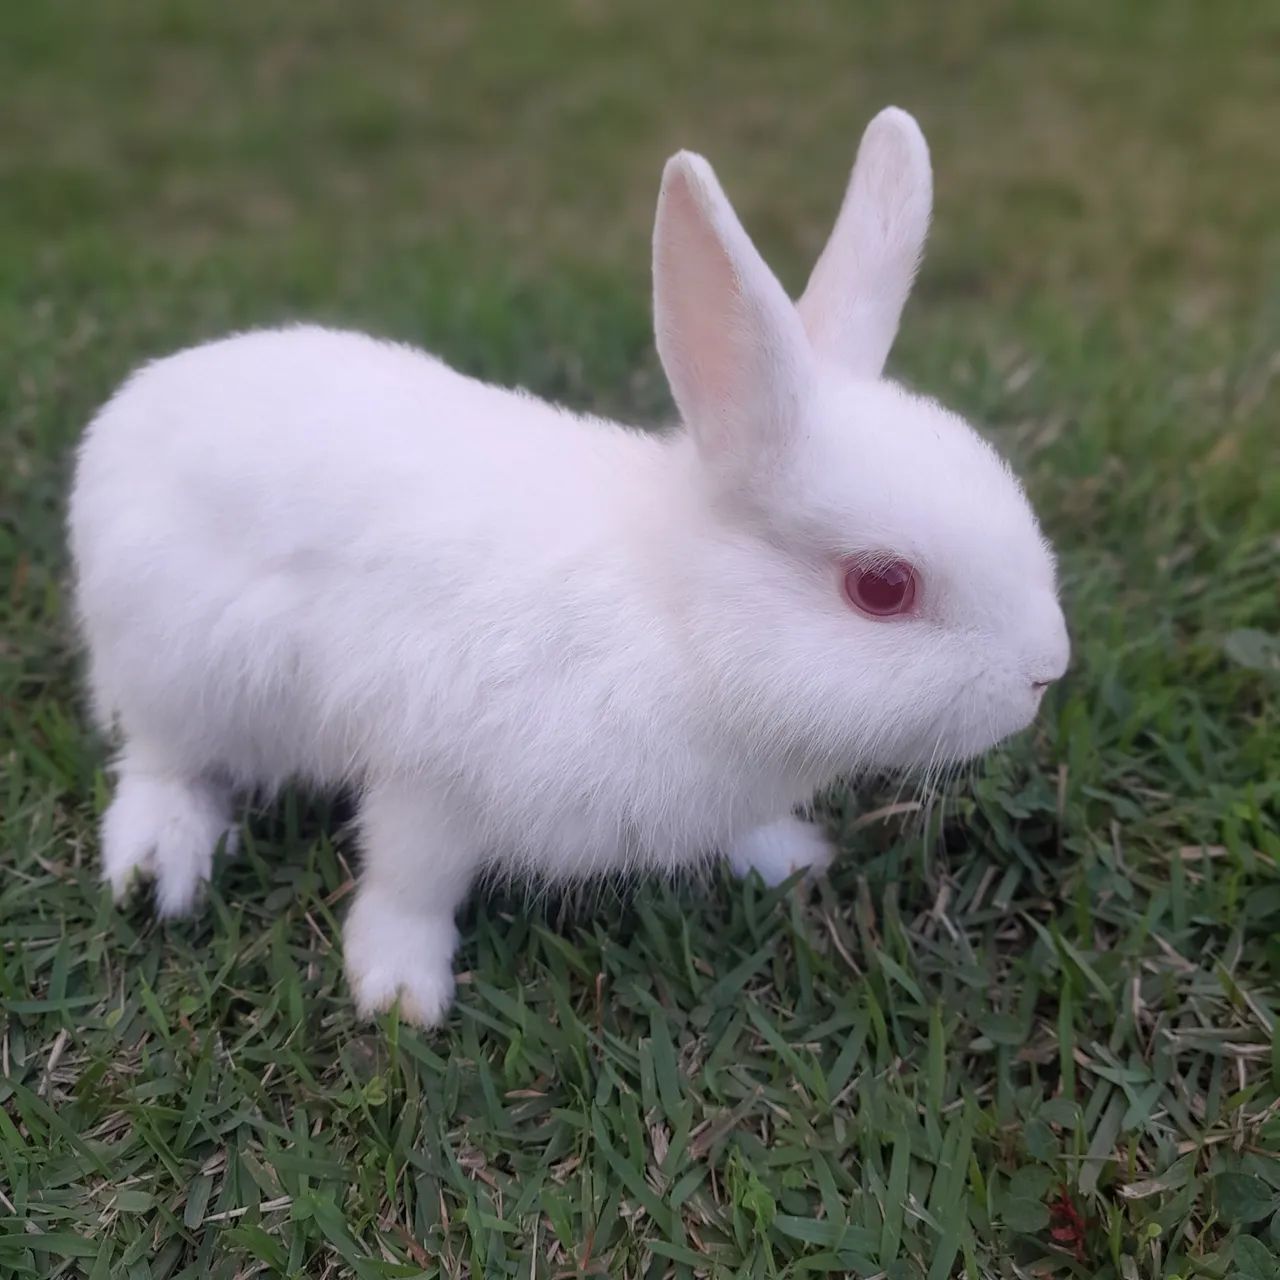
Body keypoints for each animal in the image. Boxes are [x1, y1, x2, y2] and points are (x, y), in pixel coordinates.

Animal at [68, 108, 1069, 1027]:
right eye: (882, 588)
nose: (1045, 672)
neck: (678, 621)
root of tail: (131, 411)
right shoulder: (431, 778)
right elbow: (409, 881)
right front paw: (400, 993)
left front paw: (792, 859)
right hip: (184, 667)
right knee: (159, 760)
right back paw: (161, 863)